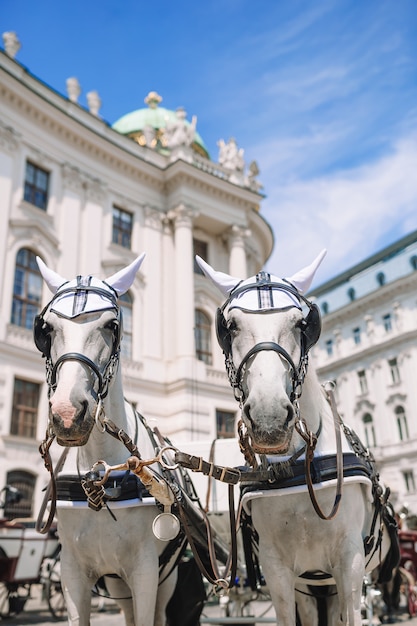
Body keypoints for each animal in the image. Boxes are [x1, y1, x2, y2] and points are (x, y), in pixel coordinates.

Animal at [35, 254, 184, 624]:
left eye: (112, 325)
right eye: (47, 329)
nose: (68, 414)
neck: (99, 472)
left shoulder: (146, 571)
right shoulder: (72, 572)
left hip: (166, 576)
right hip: (117, 583)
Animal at [195, 251, 396, 624]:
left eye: (302, 324)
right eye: (230, 326)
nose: (269, 418)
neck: (298, 466)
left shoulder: (350, 563)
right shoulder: (278, 569)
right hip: (311, 584)